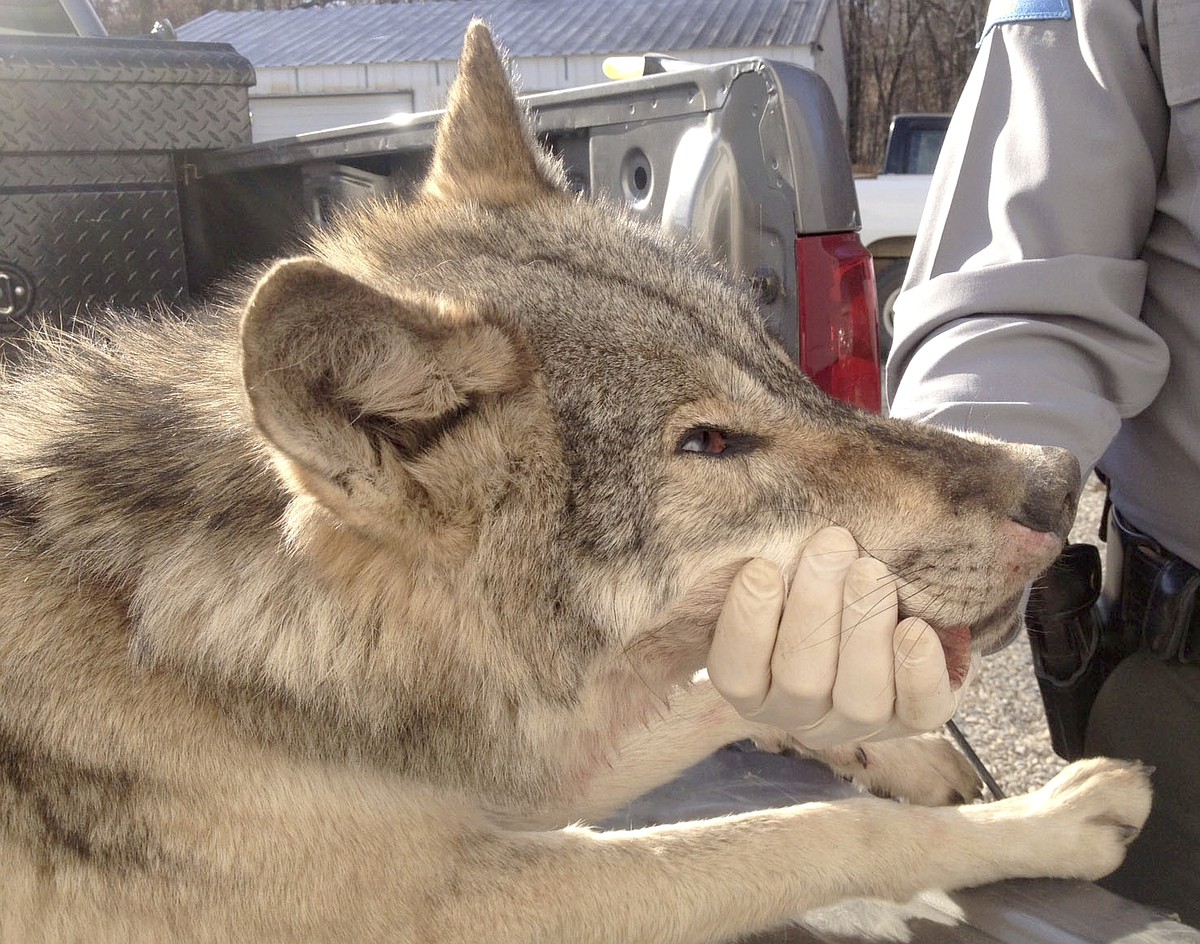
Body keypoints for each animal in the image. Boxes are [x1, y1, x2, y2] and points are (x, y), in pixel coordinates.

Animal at [0, 21, 1150, 944]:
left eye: (781, 368)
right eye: (711, 443)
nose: (1055, 482)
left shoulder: (515, 773)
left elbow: (715, 694)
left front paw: (902, 750)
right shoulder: (449, 901)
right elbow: (819, 830)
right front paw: (1049, 821)